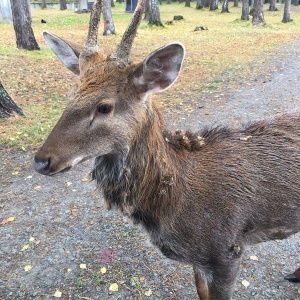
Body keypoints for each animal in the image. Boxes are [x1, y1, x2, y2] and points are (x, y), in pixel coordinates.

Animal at [32, 0, 300, 298]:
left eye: (104, 107)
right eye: (70, 96)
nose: (42, 160)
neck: (176, 204)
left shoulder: (227, 251)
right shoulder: (200, 260)